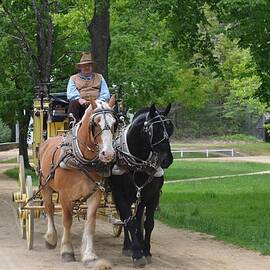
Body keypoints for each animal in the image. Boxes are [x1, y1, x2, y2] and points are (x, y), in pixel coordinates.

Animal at [37, 97, 115, 268]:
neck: (83, 160)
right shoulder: (65, 195)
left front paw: (89, 255)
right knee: (49, 209)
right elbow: (67, 220)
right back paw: (51, 238)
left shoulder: (95, 194)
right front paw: (67, 251)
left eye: (114, 123)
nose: (108, 153)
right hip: (45, 185)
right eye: (96, 123)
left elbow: (91, 223)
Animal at [109, 104, 174, 268]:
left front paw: (146, 251)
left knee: (138, 219)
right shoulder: (120, 194)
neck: (137, 163)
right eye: (154, 129)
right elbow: (129, 221)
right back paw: (128, 246)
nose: (167, 159)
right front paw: (137, 253)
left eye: (169, 128)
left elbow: (148, 223)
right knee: (125, 219)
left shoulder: (152, 196)